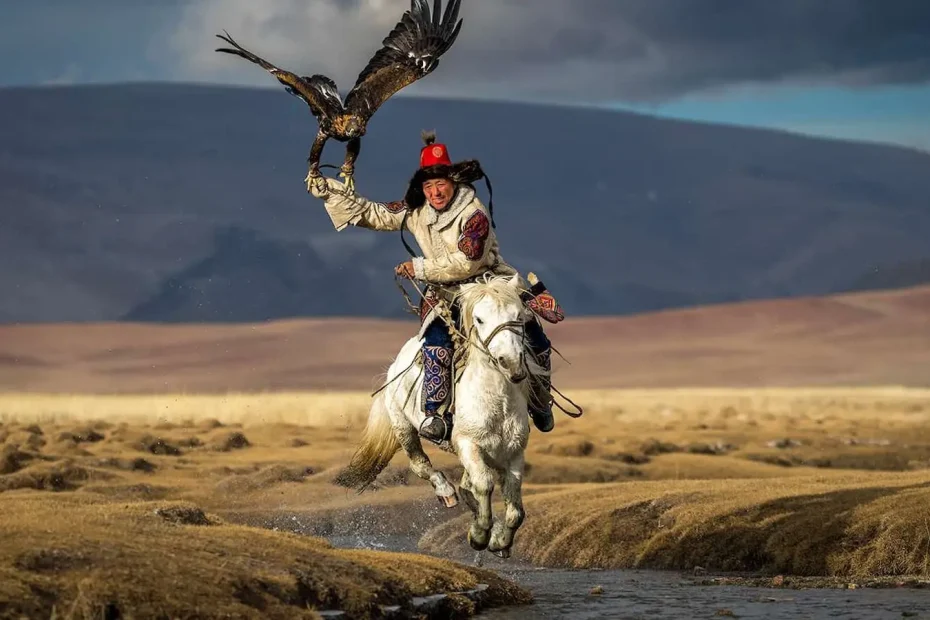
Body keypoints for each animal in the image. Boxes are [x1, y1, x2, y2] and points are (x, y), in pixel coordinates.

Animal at [334, 273, 545, 558]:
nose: (510, 362)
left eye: (519, 315)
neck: (497, 401)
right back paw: (446, 492)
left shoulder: (513, 453)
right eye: (479, 319)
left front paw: (500, 541)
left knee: (466, 485)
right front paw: (479, 536)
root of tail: (394, 365)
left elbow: (515, 510)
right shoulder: (468, 444)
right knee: (421, 465)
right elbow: (484, 484)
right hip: (404, 427)